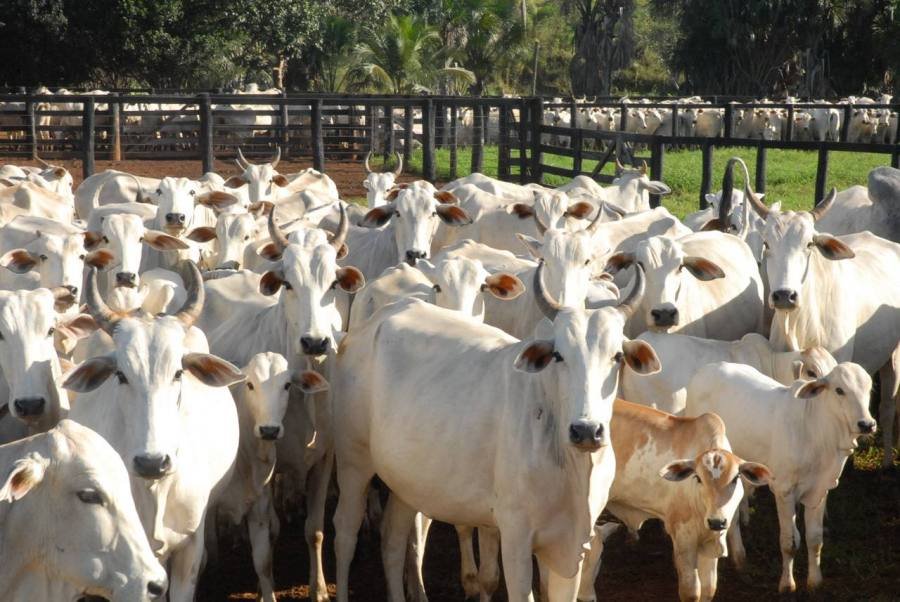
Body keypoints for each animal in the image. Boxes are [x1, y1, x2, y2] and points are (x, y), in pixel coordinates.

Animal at [688, 360, 872, 592]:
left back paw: (739, 558)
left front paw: (815, 581)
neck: (816, 432)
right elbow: (789, 542)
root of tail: (706, 368)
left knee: (734, 514)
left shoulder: (819, 491)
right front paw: (787, 584)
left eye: (869, 388)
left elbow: (815, 539)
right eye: (840, 390)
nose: (867, 424)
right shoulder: (784, 490)